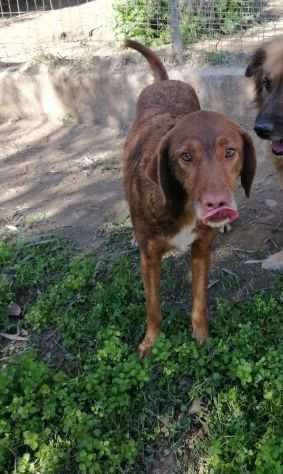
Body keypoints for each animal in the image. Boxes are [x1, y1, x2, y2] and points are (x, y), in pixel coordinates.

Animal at [125, 40, 258, 356]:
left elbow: (199, 302)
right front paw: (150, 343)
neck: (182, 206)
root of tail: (164, 81)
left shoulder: (201, 251)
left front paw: (201, 338)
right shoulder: (150, 259)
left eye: (230, 152)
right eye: (185, 157)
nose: (218, 205)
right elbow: (153, 308)